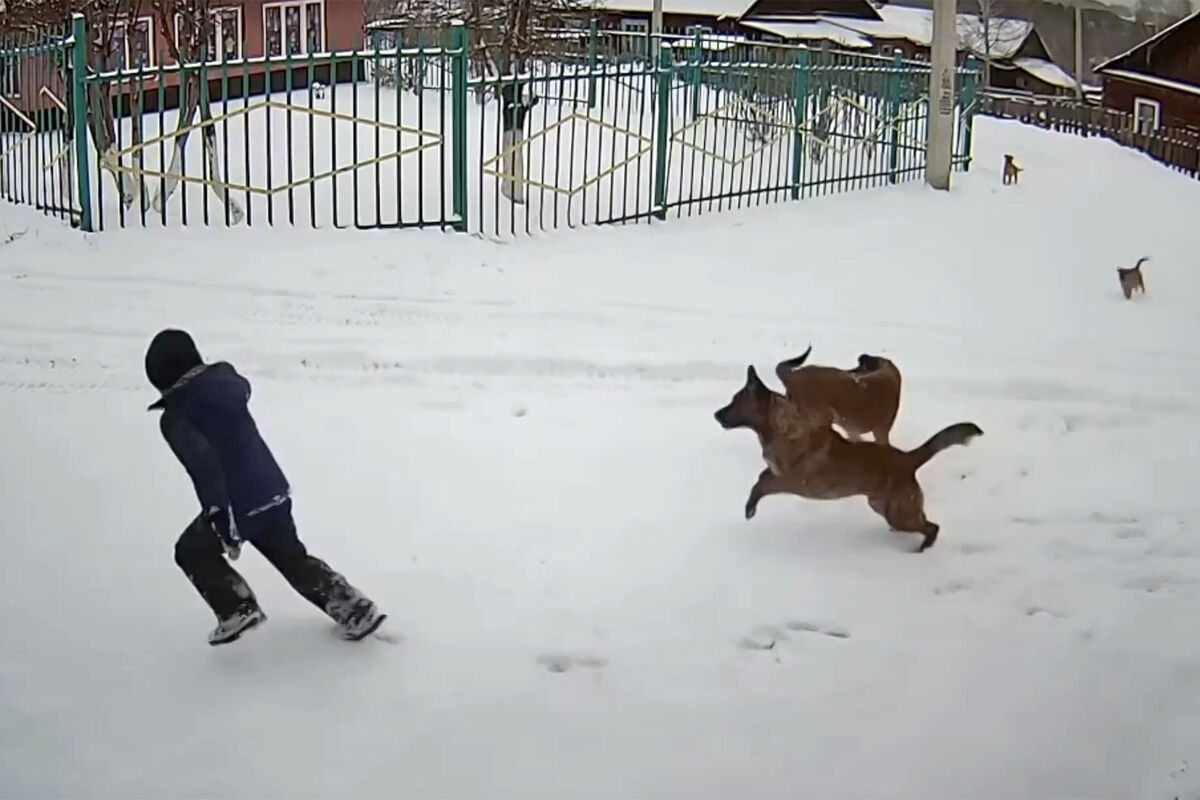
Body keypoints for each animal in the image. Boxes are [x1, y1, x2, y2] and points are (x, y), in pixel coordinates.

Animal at [710, 367, 984, 554]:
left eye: (735, 403)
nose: (715, 414)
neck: (781, 428)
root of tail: (908, 458)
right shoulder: (775, 472)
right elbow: (760, 477)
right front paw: (750, 505)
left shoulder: (791, 480)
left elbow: (761, 484)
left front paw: (750, 508)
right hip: (883, 506)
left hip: (900, 513)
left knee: (932, 527)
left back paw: (922, 549)